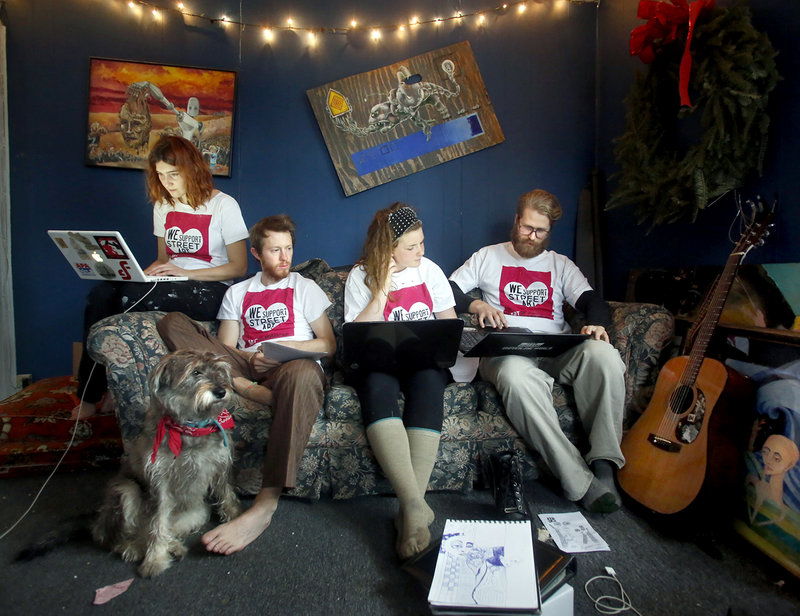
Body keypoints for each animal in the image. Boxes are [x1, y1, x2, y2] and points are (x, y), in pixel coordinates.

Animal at [93, 352, 241, 576]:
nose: (222, 391)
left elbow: (227, 495)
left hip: (197, 513)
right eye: (195, 371)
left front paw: (235, 519)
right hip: (125, 492)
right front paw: (154, 560)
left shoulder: (219, 466)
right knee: (126, 537)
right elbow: (157, 522)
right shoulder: (159, 482)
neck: (191, 427)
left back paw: (175, 547)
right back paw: (132, 547)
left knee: (167, 530)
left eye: (220, 370)